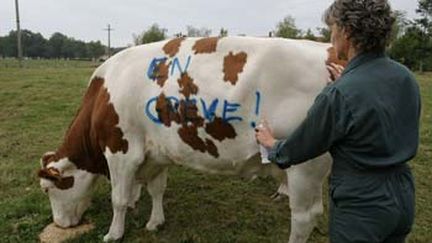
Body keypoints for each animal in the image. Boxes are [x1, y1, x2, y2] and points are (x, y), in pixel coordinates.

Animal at [38, 36, 340, 243]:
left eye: (48, 189)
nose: (61, 224)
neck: (105, 91)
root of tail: (329, 52)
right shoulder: (157, 152)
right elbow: (157, 189)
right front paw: (155, 222)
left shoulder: (121, 151)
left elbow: (119, 199)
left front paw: (114, 234)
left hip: (305, 166)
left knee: (304, 216)